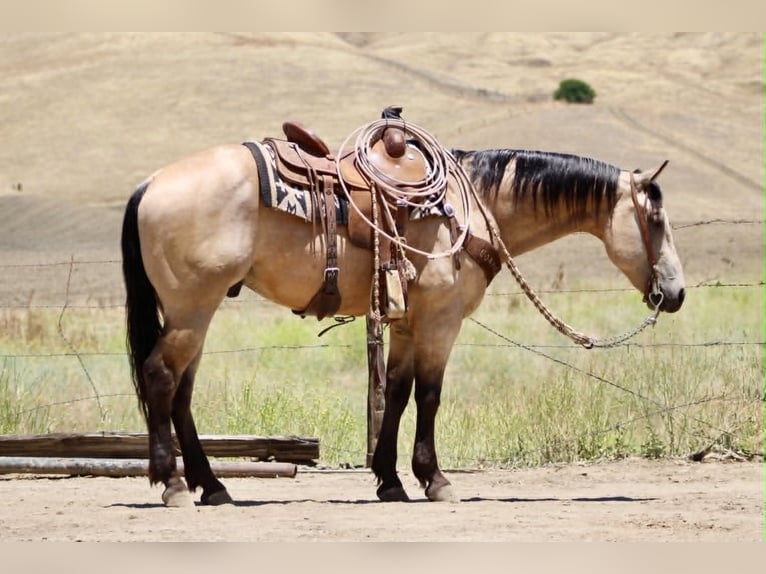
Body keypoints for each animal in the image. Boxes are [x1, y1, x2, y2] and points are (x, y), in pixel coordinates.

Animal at [121, 128, 685, 507]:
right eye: (656, 219)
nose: (676, 293)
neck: (469, 206)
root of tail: (150, 183)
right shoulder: (440, 321)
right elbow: (429, 396)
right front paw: (434, 480)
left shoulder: (408, 324)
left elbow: (395, 391)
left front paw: (390, 481)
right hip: (194, 307)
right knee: (160, 377)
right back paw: (174, 485)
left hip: (193, 310)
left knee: (181, 391)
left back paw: (212, 486)